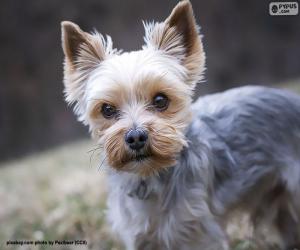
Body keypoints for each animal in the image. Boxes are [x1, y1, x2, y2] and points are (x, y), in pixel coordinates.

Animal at [60, 0, 300, 249]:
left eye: (160, 100)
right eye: (107, 109)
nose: (136, 137)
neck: (149, 176)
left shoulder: (199, 233)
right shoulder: (139, 237)